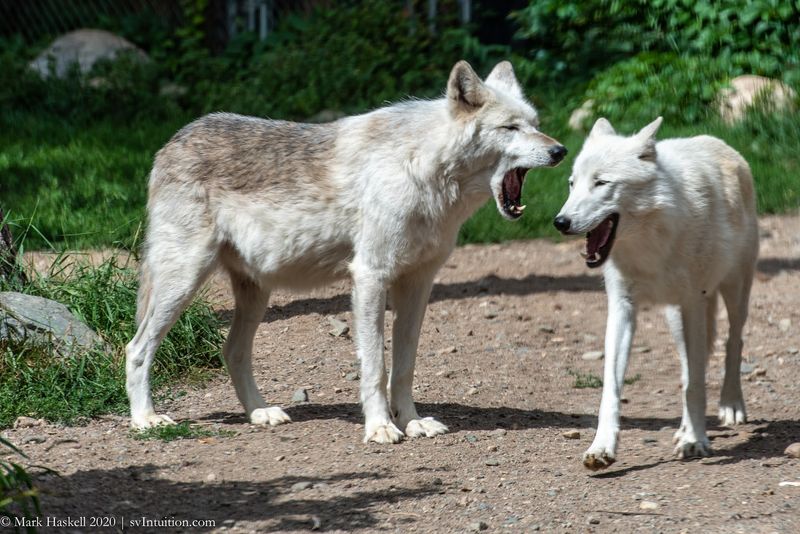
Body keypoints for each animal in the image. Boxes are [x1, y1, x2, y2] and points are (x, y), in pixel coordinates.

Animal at [125, 59, 564, 444]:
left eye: (536, 125)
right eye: (510, 127)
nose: (559, 150)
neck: (422, 169)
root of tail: (172, 142)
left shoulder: (419, 284)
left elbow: (404, 367)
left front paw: (413, 422)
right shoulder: (370, 276)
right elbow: (376, 366)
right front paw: (381, 427)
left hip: (255, 292)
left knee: (231, 350)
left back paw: (260, 413)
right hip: (184, 281)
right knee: (137, 348)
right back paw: (146, 419)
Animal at [552, 119, 760, 472]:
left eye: (601, 182)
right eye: (571, 184)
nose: (560, 222)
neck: (649, 244)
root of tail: (721, 143)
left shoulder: (693, 302)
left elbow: (697, 384)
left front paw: (696, 441)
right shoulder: (622, 309)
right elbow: (612, 387)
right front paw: (601, 448)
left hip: (733, 293)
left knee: (734, 342)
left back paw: (729, 406)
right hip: (676, 319)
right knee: (690, 366)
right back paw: (684, 429)